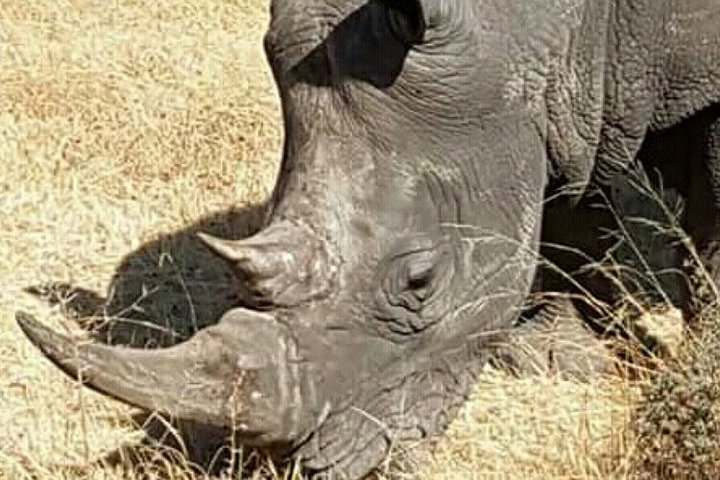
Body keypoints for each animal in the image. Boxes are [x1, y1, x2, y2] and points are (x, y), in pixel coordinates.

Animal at [16, 0, 720, 478]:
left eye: (421, 280)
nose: (309, 467)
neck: (552, 21)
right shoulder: (558, 98)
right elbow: (568, 193)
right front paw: (557, 363)